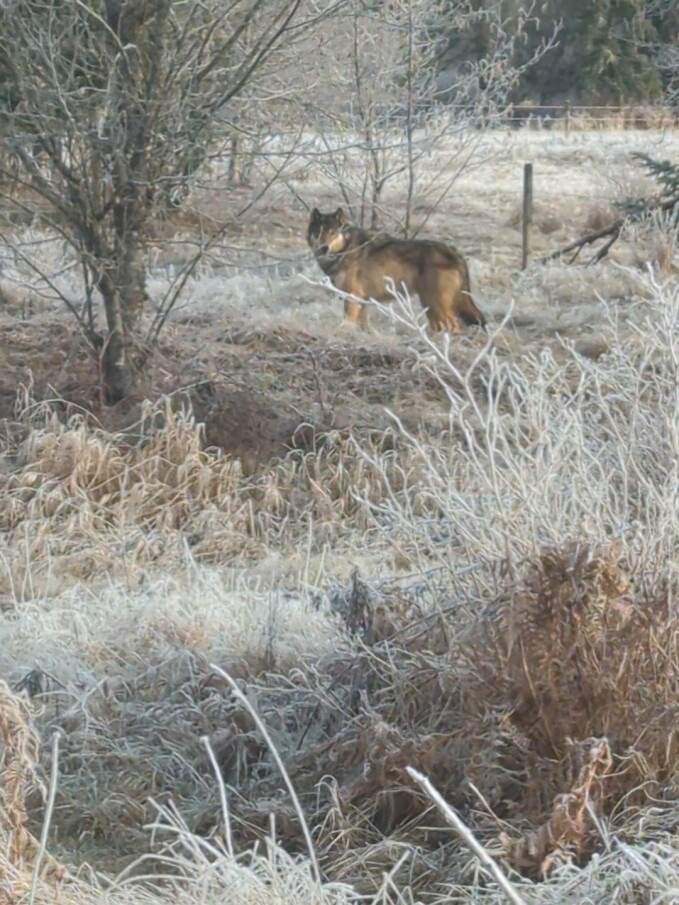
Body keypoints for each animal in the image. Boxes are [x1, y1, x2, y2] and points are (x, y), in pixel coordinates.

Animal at [307, 207, 486, 333]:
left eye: (332, 233)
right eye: (318, 233)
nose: (323, 248)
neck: (346, 249)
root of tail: (455, 252)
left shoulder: (352, 297)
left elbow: (348, 322)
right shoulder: (362, 300)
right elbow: (364, 326)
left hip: (435, 304)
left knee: (454, 326)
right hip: (430, 305)